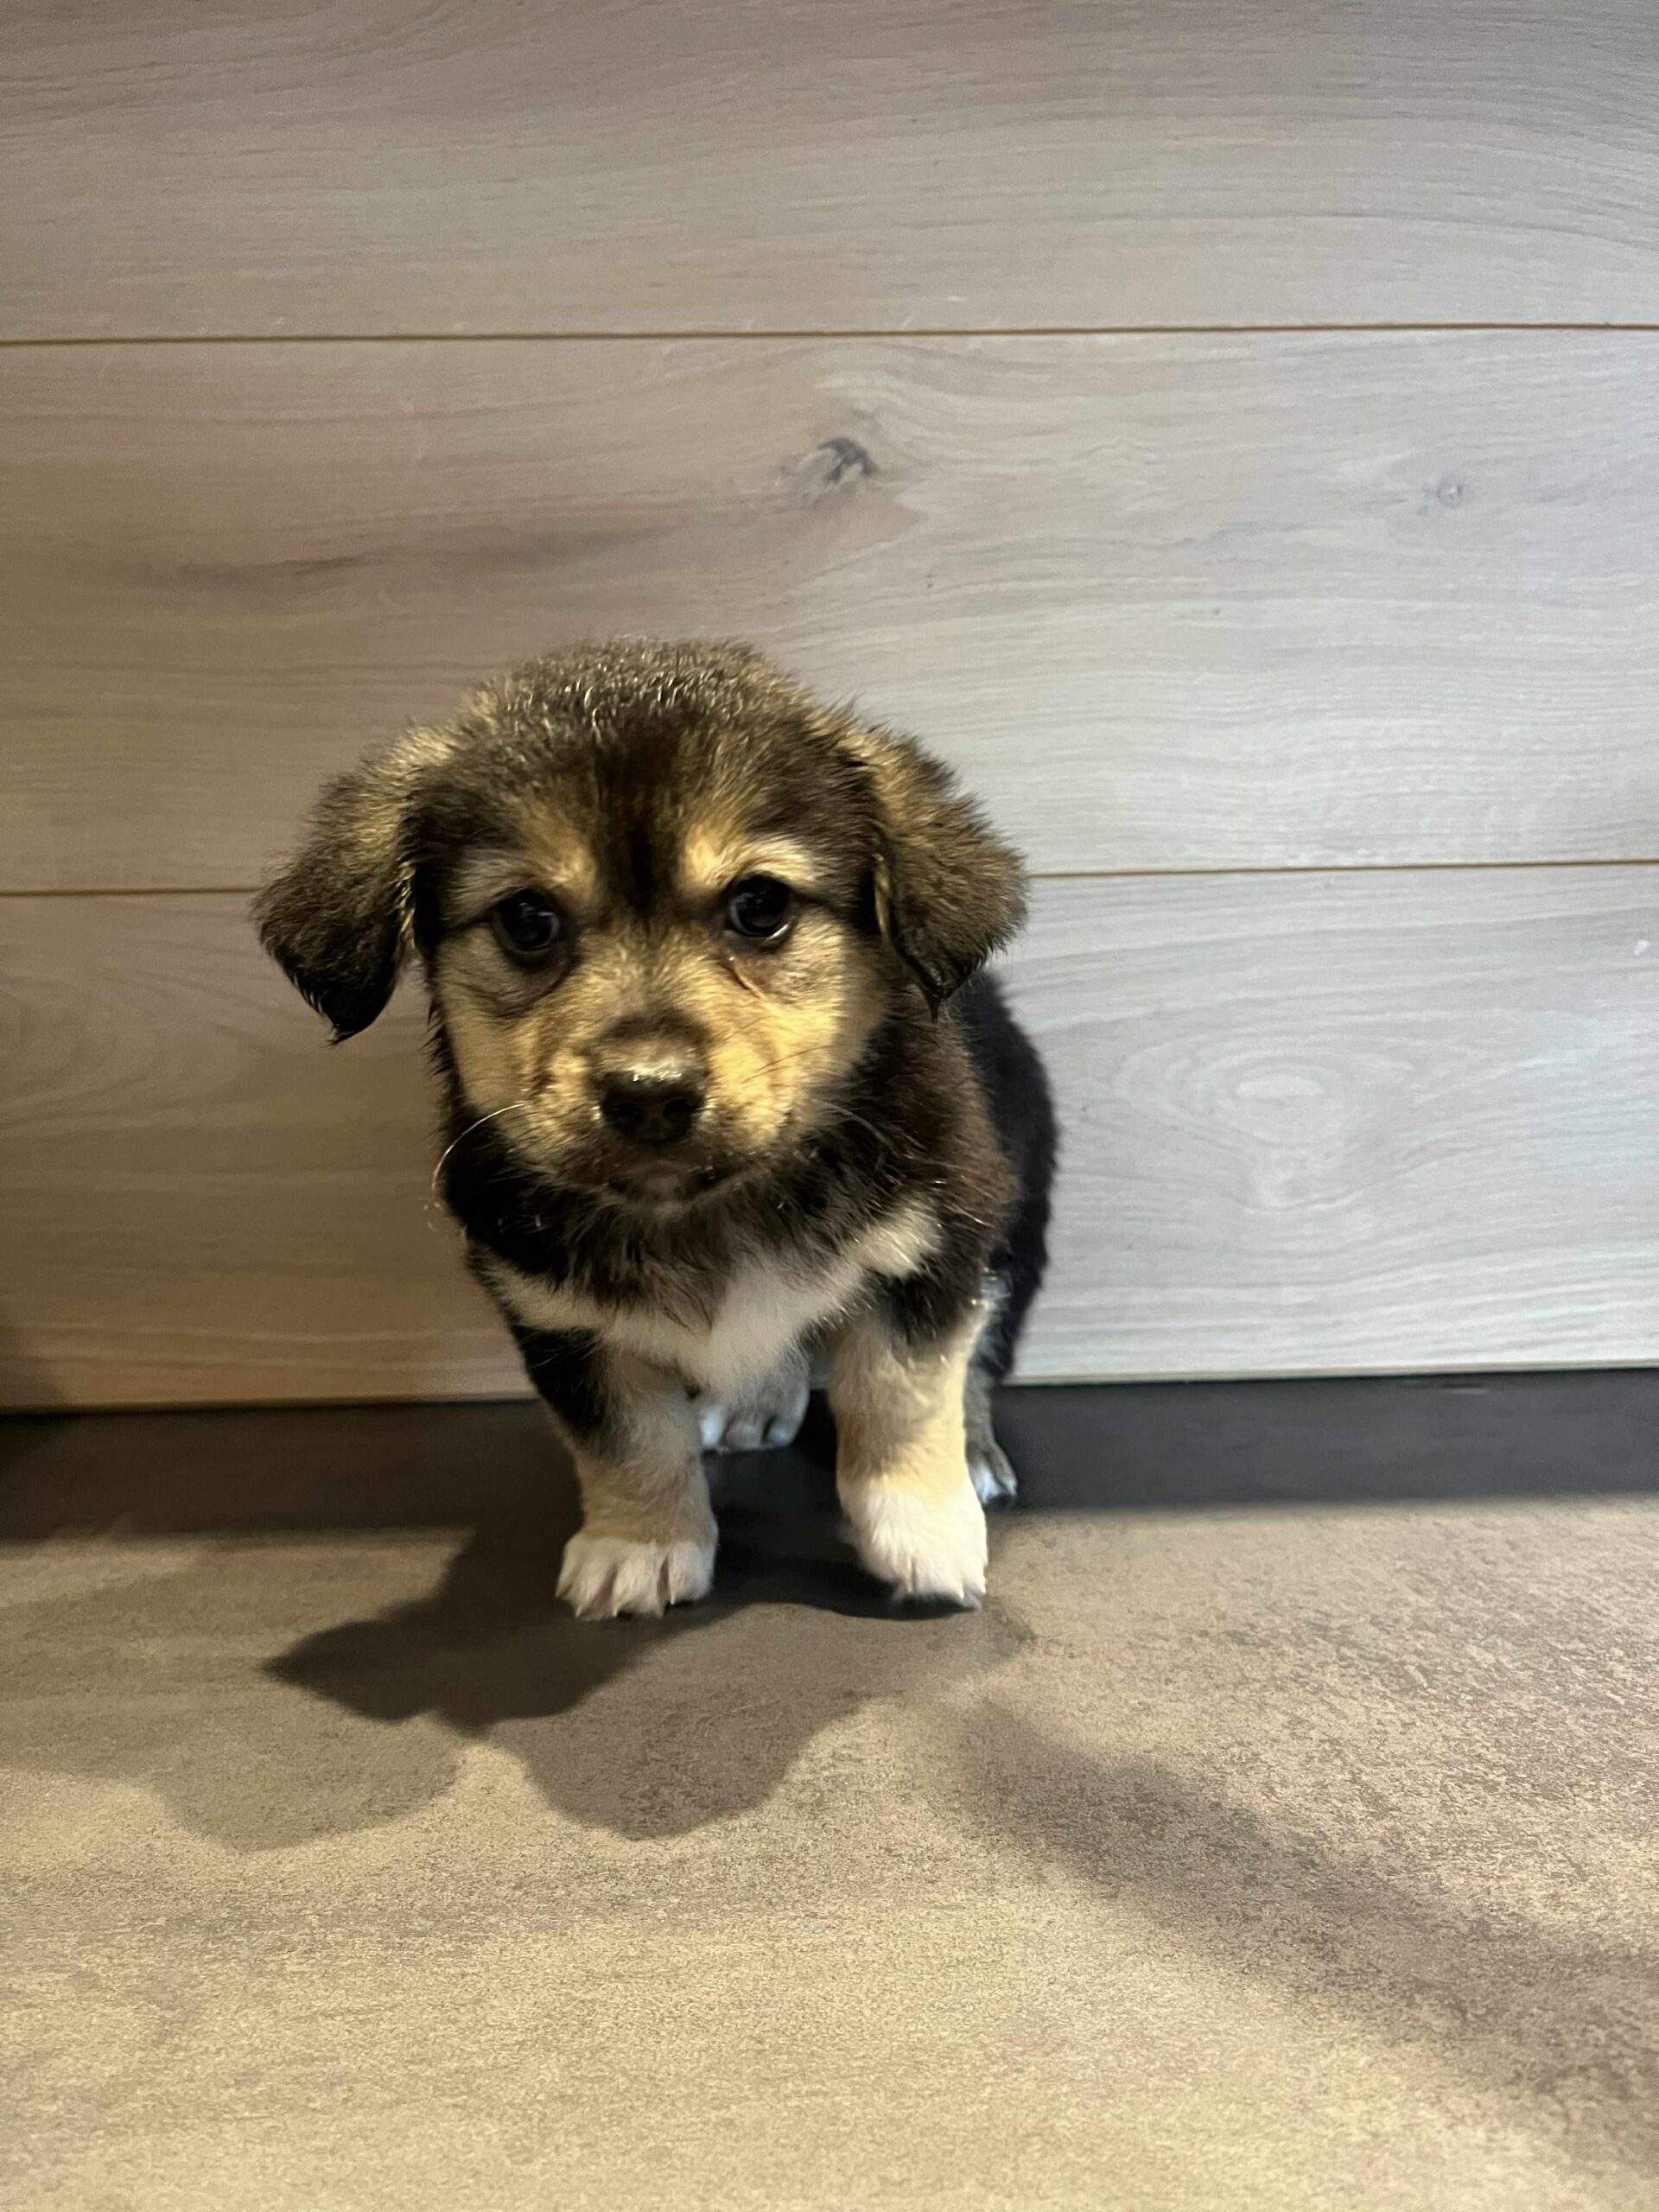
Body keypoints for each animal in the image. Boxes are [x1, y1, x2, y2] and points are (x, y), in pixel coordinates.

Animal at [255, 641, 1055, 1618]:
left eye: (760, 905)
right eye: (527, 919)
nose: (649, 1093)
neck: (702, 1210)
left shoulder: (931, 1246)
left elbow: (901, 1393)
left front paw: (924, 1531)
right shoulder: (559, 1315)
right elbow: (628, 1438)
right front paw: (640, 1545)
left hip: (1011, 1229)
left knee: (980, 1350)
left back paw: (971, 1449)